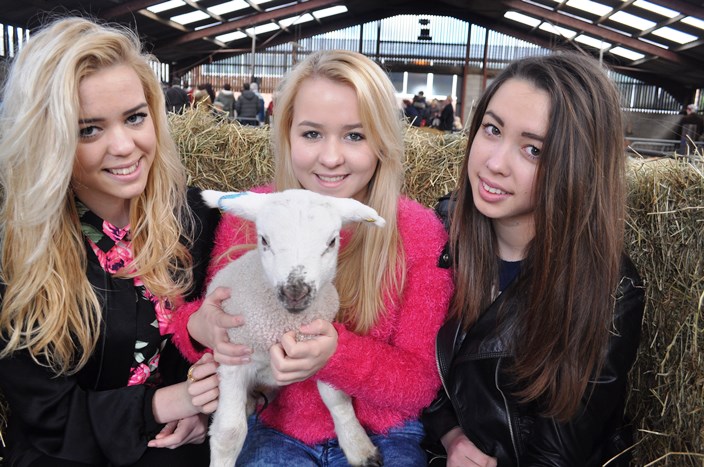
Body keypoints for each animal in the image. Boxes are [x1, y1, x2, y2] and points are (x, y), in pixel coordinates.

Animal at [199, 189, 384, 467]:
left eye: (332, 242)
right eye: (264, 240)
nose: (295, 291)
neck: (284, 327)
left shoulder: (316, 347)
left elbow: (337, 399)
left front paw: (359, 448)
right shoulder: (234, 360)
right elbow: (229, 432)